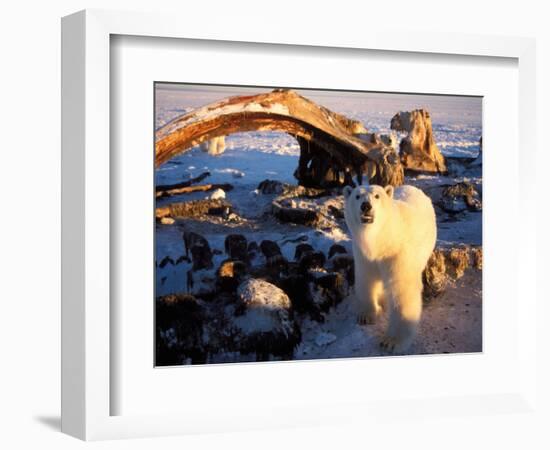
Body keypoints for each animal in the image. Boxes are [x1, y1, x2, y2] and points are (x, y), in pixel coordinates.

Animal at [344, 182, 440, 352]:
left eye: (377, 196)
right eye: (357, 196)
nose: (366, 206)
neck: (382, 240)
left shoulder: (397, 253)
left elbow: (402, 291)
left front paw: (391, 341)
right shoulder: (364, 255)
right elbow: (366, 278)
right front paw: (366, 315)